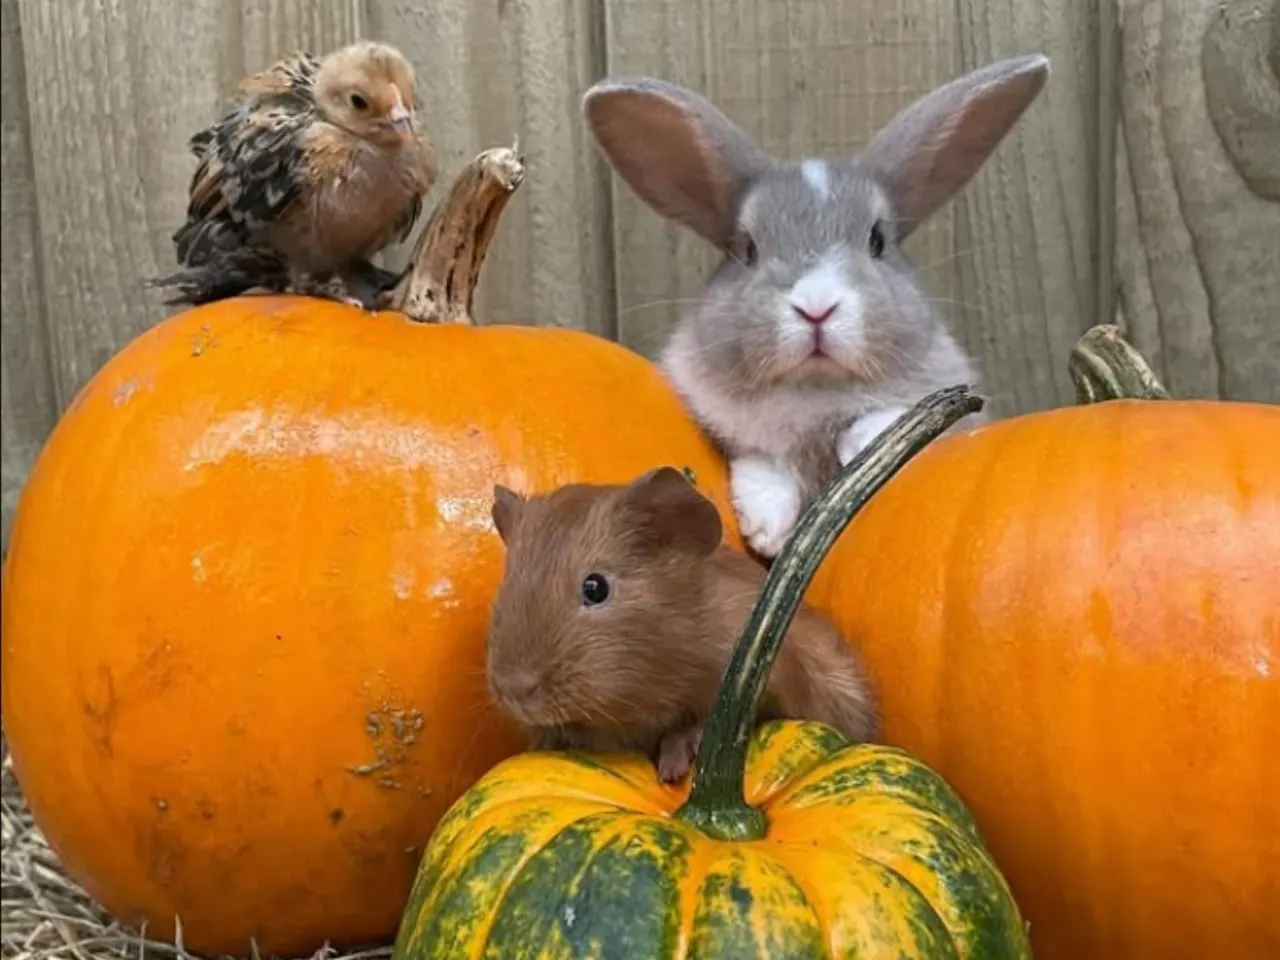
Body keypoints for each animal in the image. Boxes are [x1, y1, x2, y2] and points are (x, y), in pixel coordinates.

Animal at [582, 55, 1050, 557]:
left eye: (877, 241)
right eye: (748, 249)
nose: (816, 308)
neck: (817, 393)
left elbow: (893, 415)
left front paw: (860, 444)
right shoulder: (739, 435)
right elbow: (762, 467)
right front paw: (767, 532)